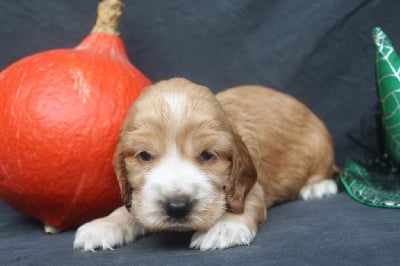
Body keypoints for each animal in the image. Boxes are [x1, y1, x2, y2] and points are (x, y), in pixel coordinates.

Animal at [72, 77, 338, 251]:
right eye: (144, 156)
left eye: (208, 155)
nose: (177, 207)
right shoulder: (139, 197)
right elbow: (130, 209)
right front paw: (104, 225)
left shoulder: (252, 187)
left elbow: (245, 204)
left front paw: (225, 227)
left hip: (320, 144)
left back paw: (317, 187)